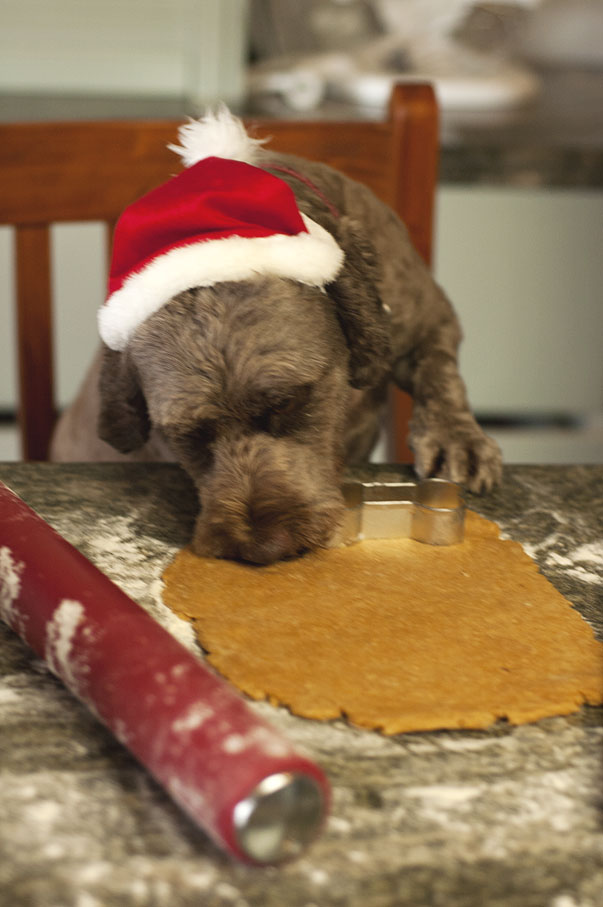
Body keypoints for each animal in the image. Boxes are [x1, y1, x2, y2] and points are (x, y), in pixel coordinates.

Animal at [52, 104, 502, 560]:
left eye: (287, 403)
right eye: (188, 435)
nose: (262, 547)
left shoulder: (430, 319)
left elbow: (439, 374)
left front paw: (456, 439)